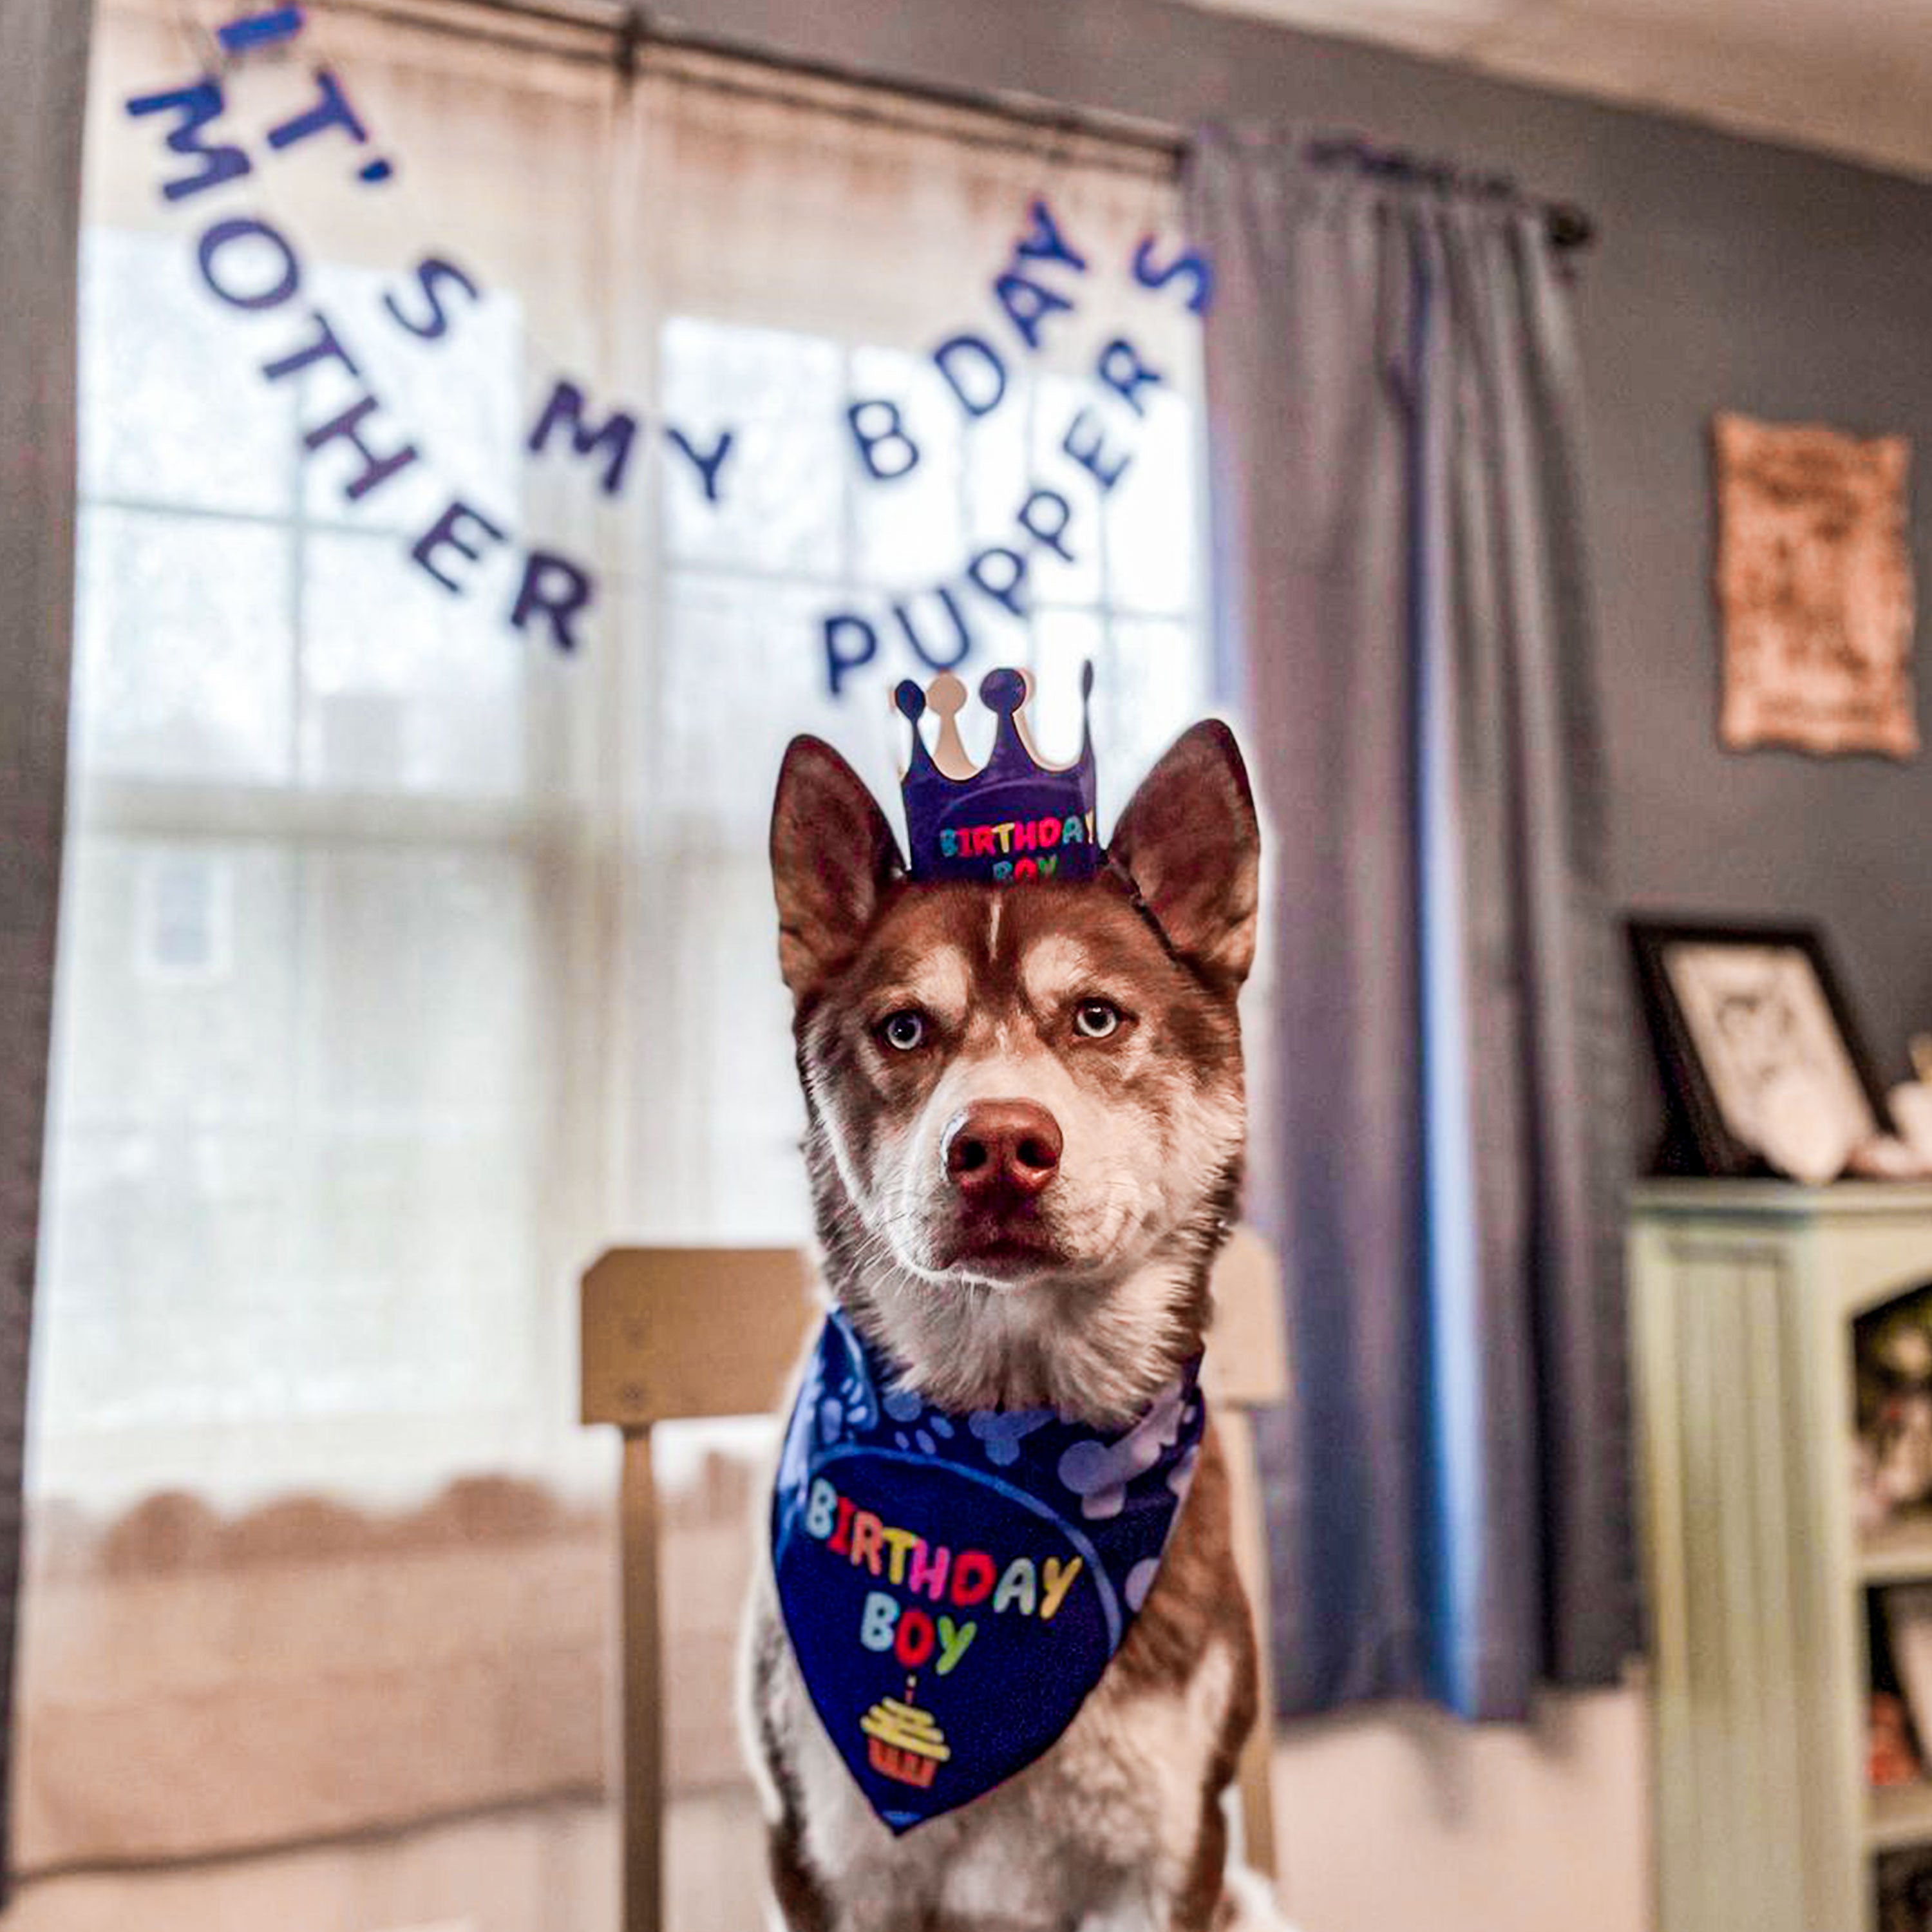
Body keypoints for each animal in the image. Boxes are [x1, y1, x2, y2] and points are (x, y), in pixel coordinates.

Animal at [738, 715, 1283, 1932]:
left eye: (1096, 1016)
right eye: (904, 1029)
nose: (996, 1147)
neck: (1007, 1427)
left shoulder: (1173, 1853)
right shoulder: (825, 1854)